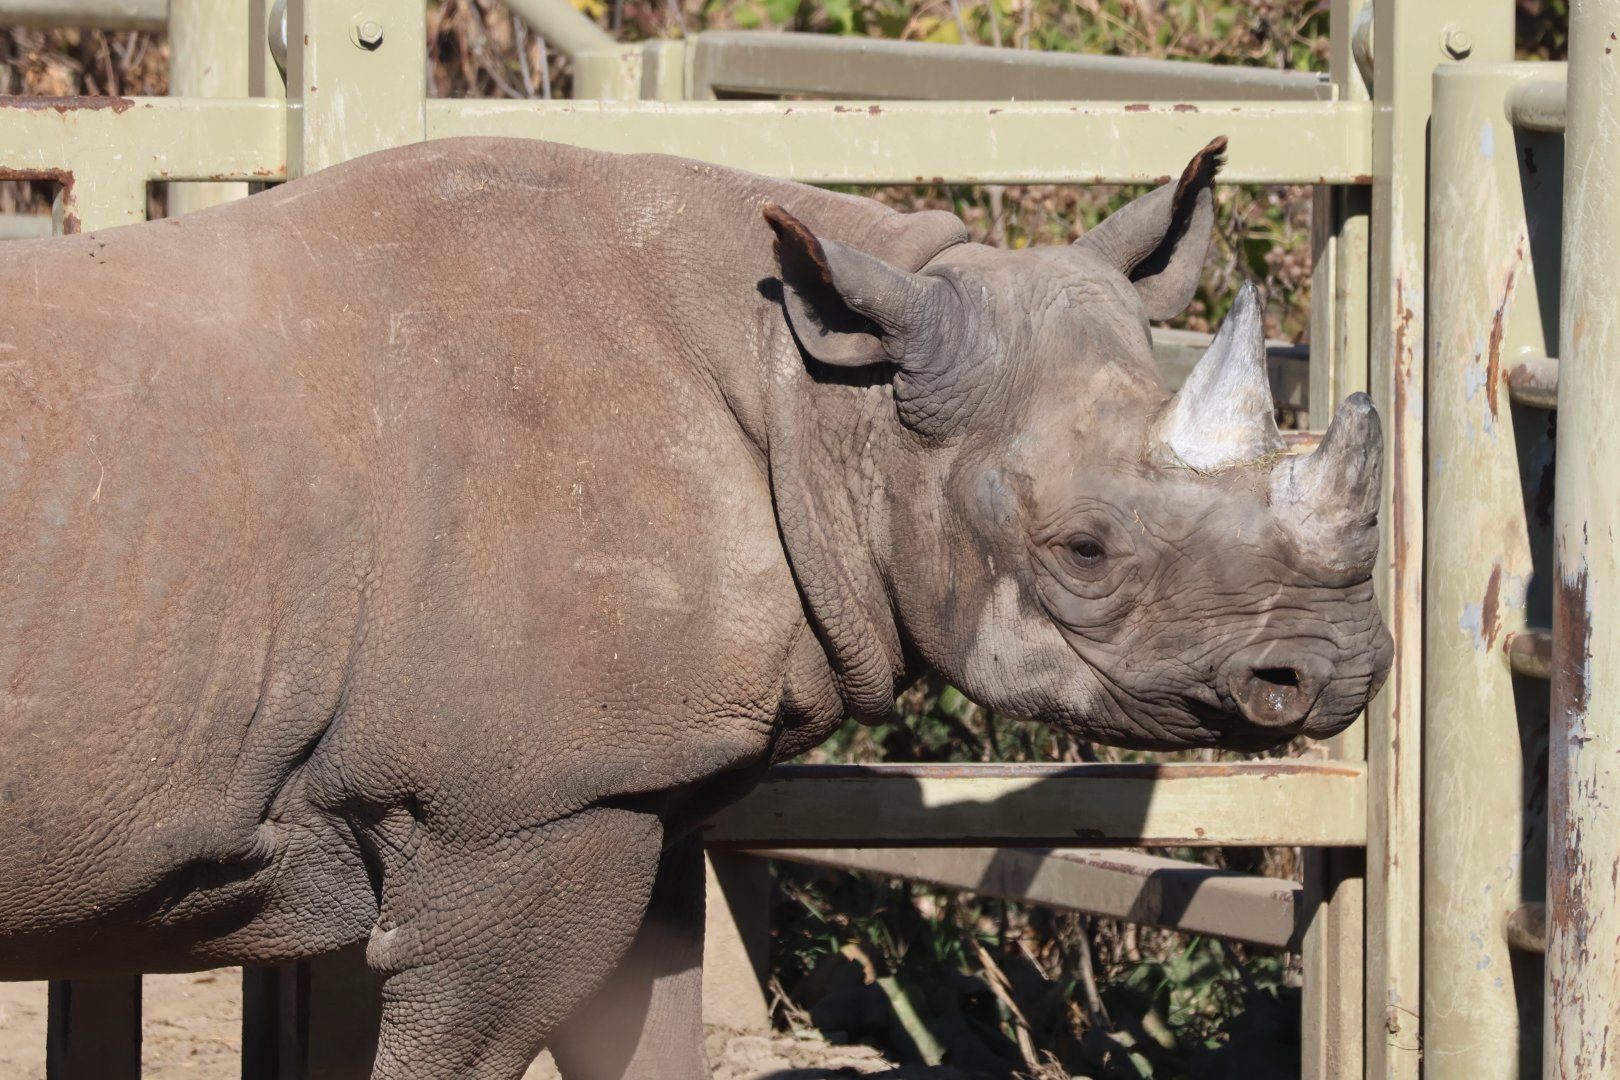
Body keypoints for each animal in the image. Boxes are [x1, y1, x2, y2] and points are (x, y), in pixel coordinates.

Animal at [0, 134, 1391, 1079]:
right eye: (1086, 550)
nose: (1337, 671)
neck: (825, 404)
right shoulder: (513, 811)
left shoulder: (630, 779)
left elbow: (648, 1030)